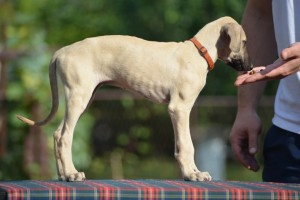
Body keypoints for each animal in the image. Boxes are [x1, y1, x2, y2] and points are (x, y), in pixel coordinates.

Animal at [15, 16, 251, 182]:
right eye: (245, 42)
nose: (250, 67)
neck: (199, 52)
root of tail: (62, 51)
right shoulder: (179, 108)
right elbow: (187, 145)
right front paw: (193, 175)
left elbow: (187, 143)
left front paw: (193, 172)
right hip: (78, 96)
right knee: (65, 136)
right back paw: (72, 174)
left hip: (84, 97)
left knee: (57, 134)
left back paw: (64, 175)